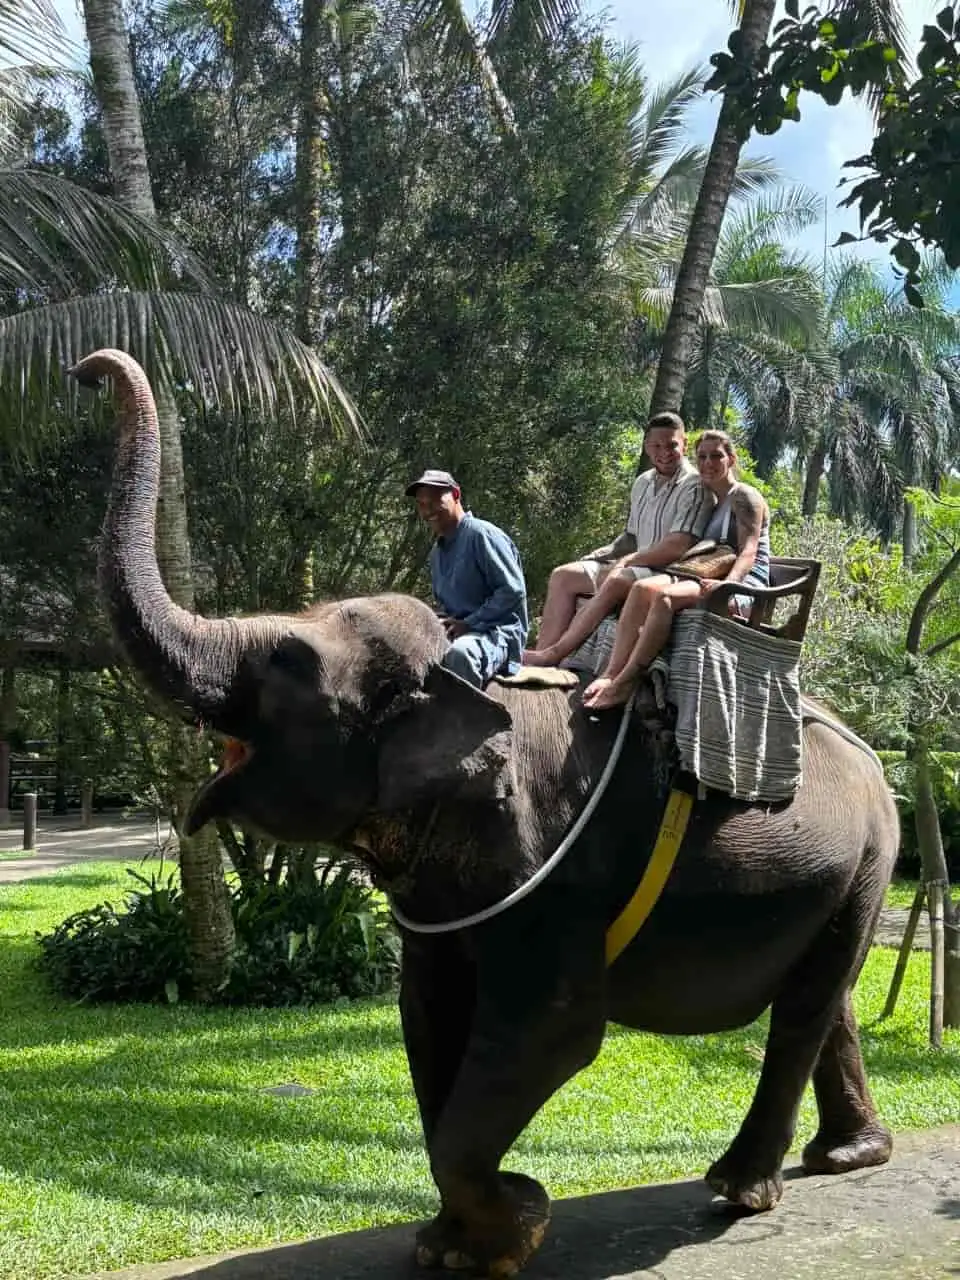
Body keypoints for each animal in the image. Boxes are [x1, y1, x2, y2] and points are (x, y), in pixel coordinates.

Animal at [74, 348, 900, 1278]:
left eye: (287, 662)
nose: (88, 370)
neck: (464, 682)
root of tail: (874, 758)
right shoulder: (441, 892)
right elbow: (428, 1018)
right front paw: (455, 1246)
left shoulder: (555, 869)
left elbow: (552, 1031)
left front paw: (518, 1223)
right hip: (842, 873)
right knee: (828, 997)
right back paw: (849, 1155)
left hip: (869, 861)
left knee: (804, 1008)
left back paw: (740, 1190)